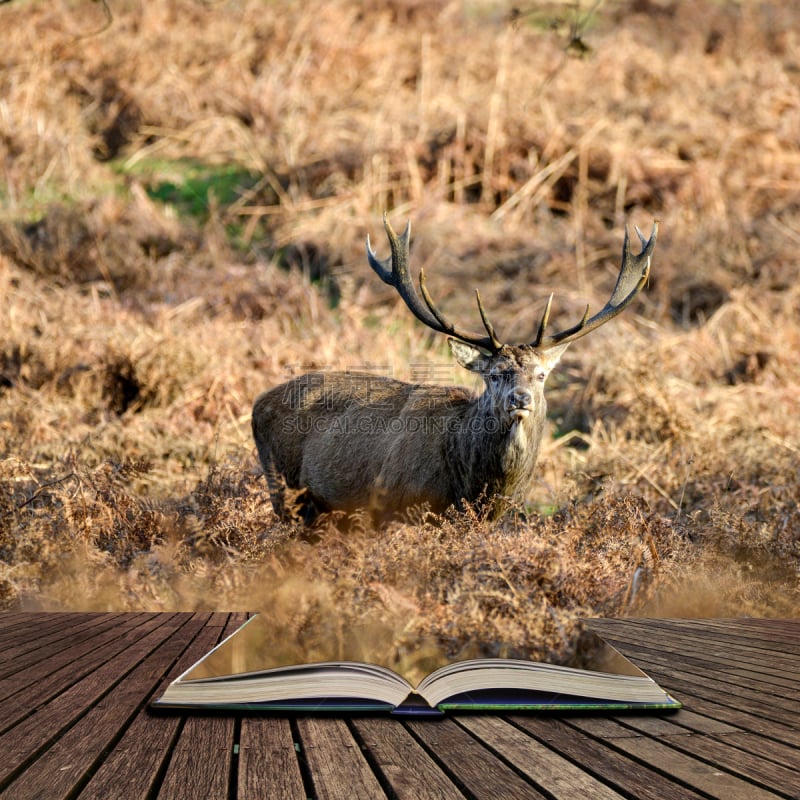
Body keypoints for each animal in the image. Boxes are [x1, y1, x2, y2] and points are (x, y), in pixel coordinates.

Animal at [252, 216, 656, 524]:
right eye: (494, 375)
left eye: (542, 375)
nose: (520, 398)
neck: (475, 487)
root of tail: (257, 405)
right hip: (284, 489)